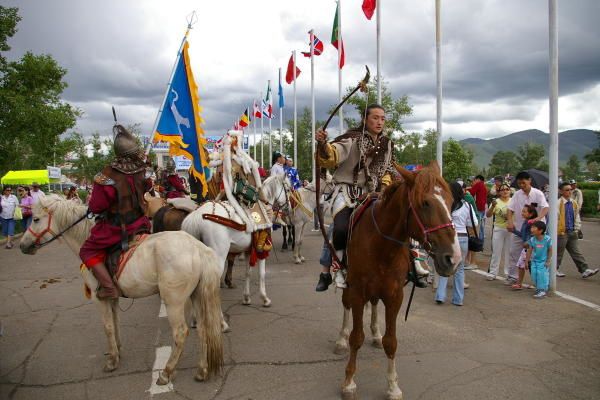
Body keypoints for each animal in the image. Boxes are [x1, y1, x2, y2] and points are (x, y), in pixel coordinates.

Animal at [20, 195, 225, 386]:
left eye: (36, 219)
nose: (22, 245)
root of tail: (198, 248)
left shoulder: (99, 298)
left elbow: (108, 326)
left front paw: (112, 361)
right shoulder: (113, 298)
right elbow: (116, 322)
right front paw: (117, 350)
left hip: (173, 302)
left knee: (180, 333)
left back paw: (167, 372)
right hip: (196, 296)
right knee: (203, 329)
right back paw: (202, 370)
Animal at [183, 173, 290, 308]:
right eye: (288, 189)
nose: (288, 208)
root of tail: (196, 216)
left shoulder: (249, 250)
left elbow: (248, 272)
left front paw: (246, 298)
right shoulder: (261, 250)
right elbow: (262, 273)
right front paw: (265, 299)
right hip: (218, 255)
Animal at [338, 162, 460, 400]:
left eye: (451, 202)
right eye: (425, 203)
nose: (453, 258)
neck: (381, 246)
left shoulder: (395, 296)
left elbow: (391, 342)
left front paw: (393, 386)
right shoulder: (357, 292)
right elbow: (356, 338)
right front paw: (349, 381)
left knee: (374, 304)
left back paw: (375, 334)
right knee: (345, 304)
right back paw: (341, 338)